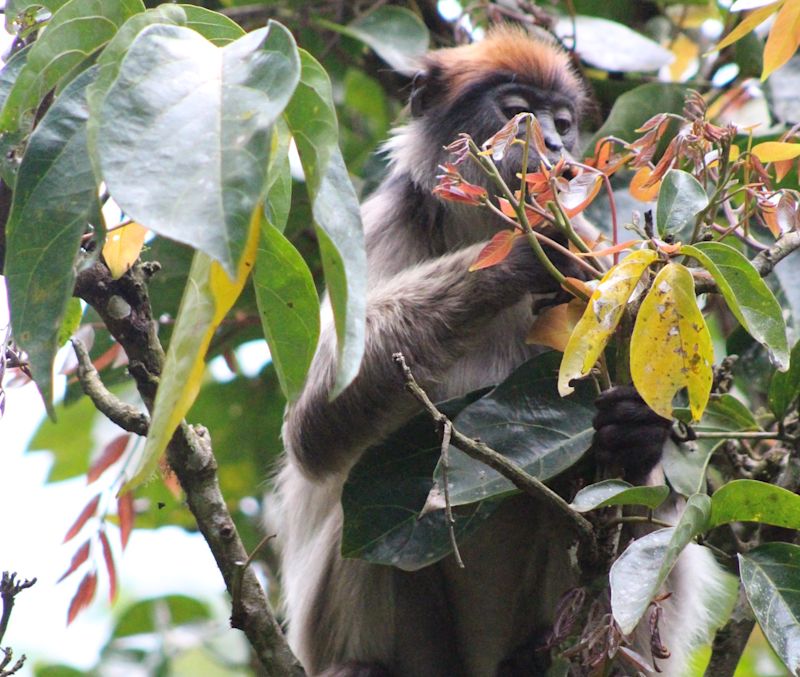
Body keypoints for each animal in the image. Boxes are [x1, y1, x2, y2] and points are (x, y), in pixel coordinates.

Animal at [270, 26, 732, 676]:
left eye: (561, 122)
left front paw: (639, 431)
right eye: (519, 113)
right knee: (350, 512)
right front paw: (515, 257)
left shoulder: (607, 266)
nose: (555, 144)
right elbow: (311, 429)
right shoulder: (381, 225)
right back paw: (363, 665)